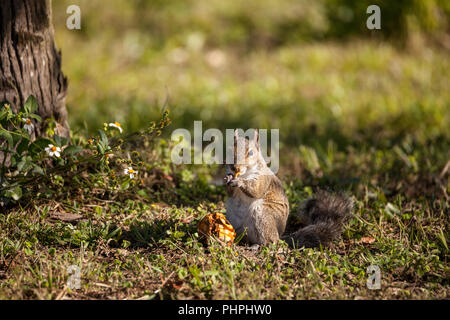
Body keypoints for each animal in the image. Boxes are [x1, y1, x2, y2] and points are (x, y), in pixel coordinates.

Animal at [223, 129, 354, 249]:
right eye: (229, 150)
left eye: (250, 153)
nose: (234, 168)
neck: (244, 174)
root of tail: (280, 236)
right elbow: (230, 193)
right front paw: (227, 178)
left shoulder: (264, 178)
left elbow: (256, 190)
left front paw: (240, 182)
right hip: (232, 218)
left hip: (263, 216)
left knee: (271, 242)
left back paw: (257, 246)